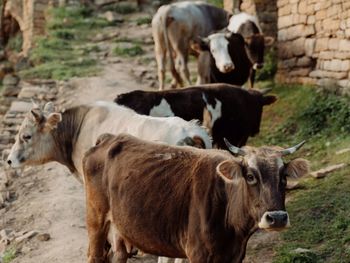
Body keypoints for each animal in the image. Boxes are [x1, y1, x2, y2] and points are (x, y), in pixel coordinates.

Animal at [82, 134, 308, 263]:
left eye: (284, 177)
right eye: (251, 176)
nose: (277, 218)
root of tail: (109, 138)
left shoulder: (234, 257)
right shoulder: (198, 254)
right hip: (96, 218)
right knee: (95, 255)